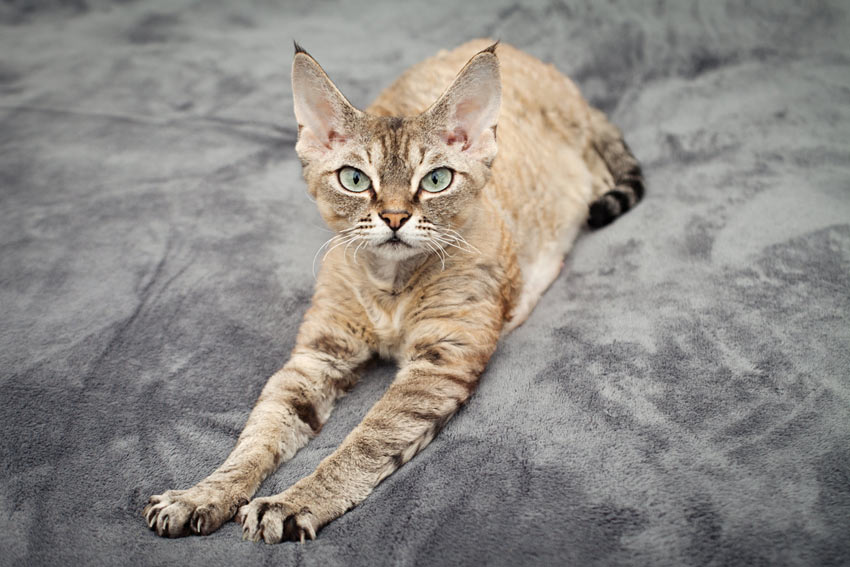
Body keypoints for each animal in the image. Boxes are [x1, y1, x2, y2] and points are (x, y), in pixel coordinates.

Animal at [144, 37, 644, 544]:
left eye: (437, 180)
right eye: (355, 179)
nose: (395, 217)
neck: (390, 285)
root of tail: (556, 75)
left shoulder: (440, 362)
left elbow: (366, 441)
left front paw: (294, 502)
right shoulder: (318, 355)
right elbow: (260, 431)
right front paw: (203, 494)